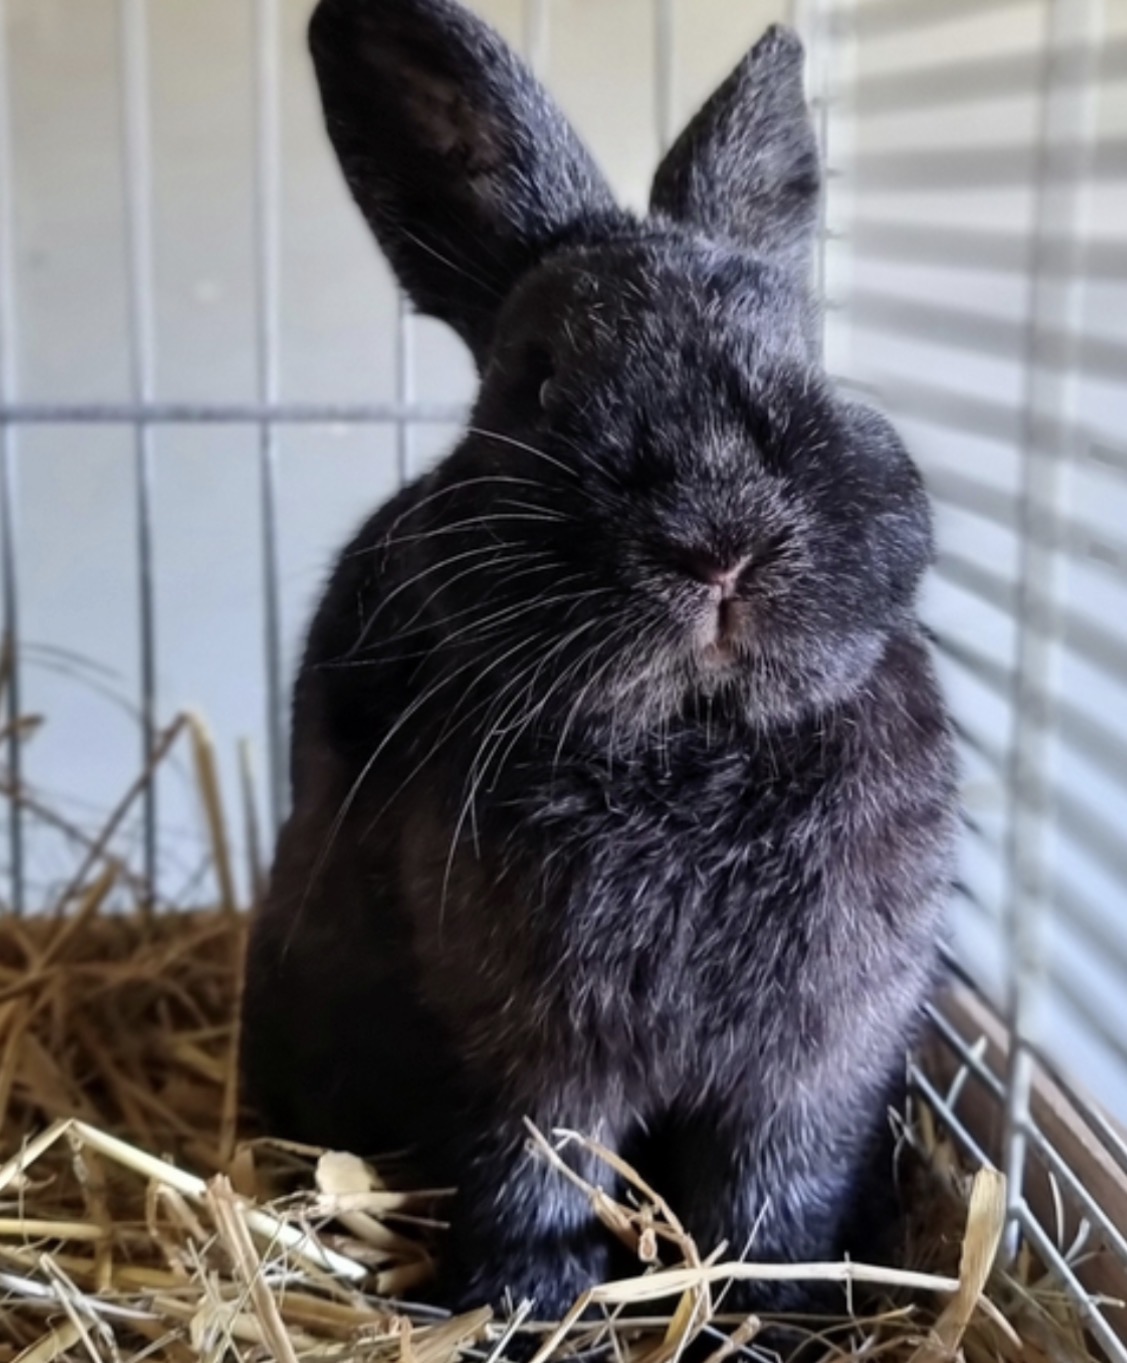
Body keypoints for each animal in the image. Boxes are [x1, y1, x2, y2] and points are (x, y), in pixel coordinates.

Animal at [240, 0, 958, 1327]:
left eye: (802, 362)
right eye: (537, 380)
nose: (718, 541)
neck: (696, 741)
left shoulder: (814, 1062)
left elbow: (769, 1195)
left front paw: (758, 1312)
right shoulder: (523, 1056)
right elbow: (535, 1168)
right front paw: (528, 1303)